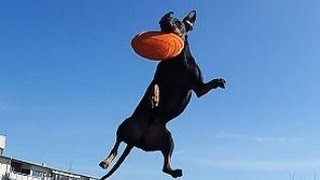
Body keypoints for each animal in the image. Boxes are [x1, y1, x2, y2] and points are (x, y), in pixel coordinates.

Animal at [99, 10, 226, 179]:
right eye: (162, 20)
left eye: (178, 22)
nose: (165, 22)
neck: (177, 61)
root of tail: (137, 141)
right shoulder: (157, 79)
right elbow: (155, 87)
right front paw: (156, 96)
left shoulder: (199, 88)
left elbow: (208, 85)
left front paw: (218, 81)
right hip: (126, 123)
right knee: (116, 145)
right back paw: (106, 161)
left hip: (168, 139)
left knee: (165, 166)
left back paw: (175, 171)